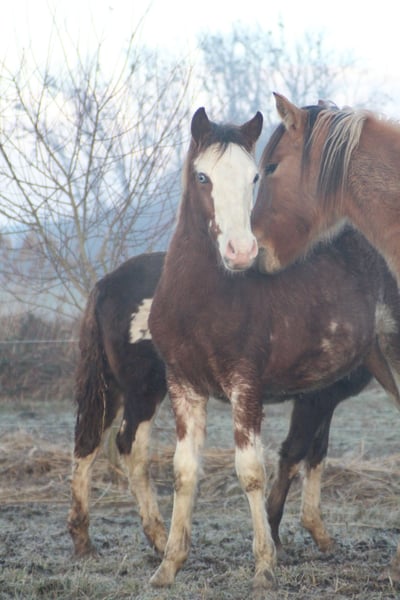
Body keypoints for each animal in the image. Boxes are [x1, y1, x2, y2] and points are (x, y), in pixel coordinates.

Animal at [68, 251, 392, 566]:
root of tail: (106, 285)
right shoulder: (313, 399)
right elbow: (294, 454)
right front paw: (277, 536)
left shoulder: (324, 400)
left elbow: (316, 455)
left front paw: (319, 535)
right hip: (145, 390)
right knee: (130, 447)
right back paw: (160, 539)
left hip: (112, 389)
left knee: (88, 445)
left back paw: (84, 540)